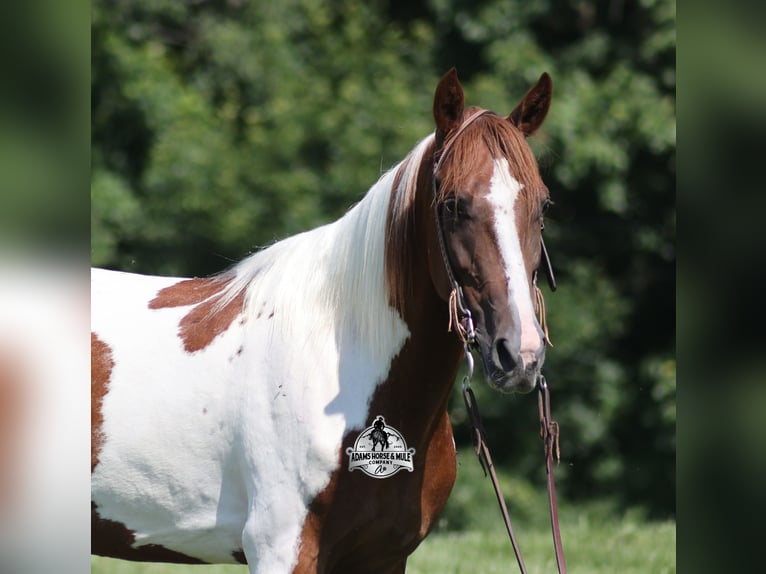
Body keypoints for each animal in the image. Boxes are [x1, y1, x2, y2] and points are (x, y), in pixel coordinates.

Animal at [91, 67, 554, 574]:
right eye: (452, 205)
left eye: (544, 206)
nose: (520, 354)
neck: (339, 362)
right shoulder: (281, 548)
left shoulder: (384, 557)